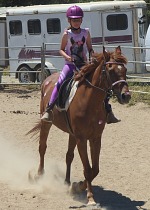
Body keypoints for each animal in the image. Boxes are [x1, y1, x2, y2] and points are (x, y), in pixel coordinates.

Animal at [27, 46, 131, 205]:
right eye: (110, 69)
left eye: (124, 70)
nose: (126, 96)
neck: (90, 102)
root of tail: (48, 79)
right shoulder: (82, 139)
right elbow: (88, 169)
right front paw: (90, 197)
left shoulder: (95, 138)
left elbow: (95, 169)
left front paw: (78, 186)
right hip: (46, 123)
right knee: (42, 147)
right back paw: (39, 175)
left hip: (72, 134)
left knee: (69, 155)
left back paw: (67, 181)